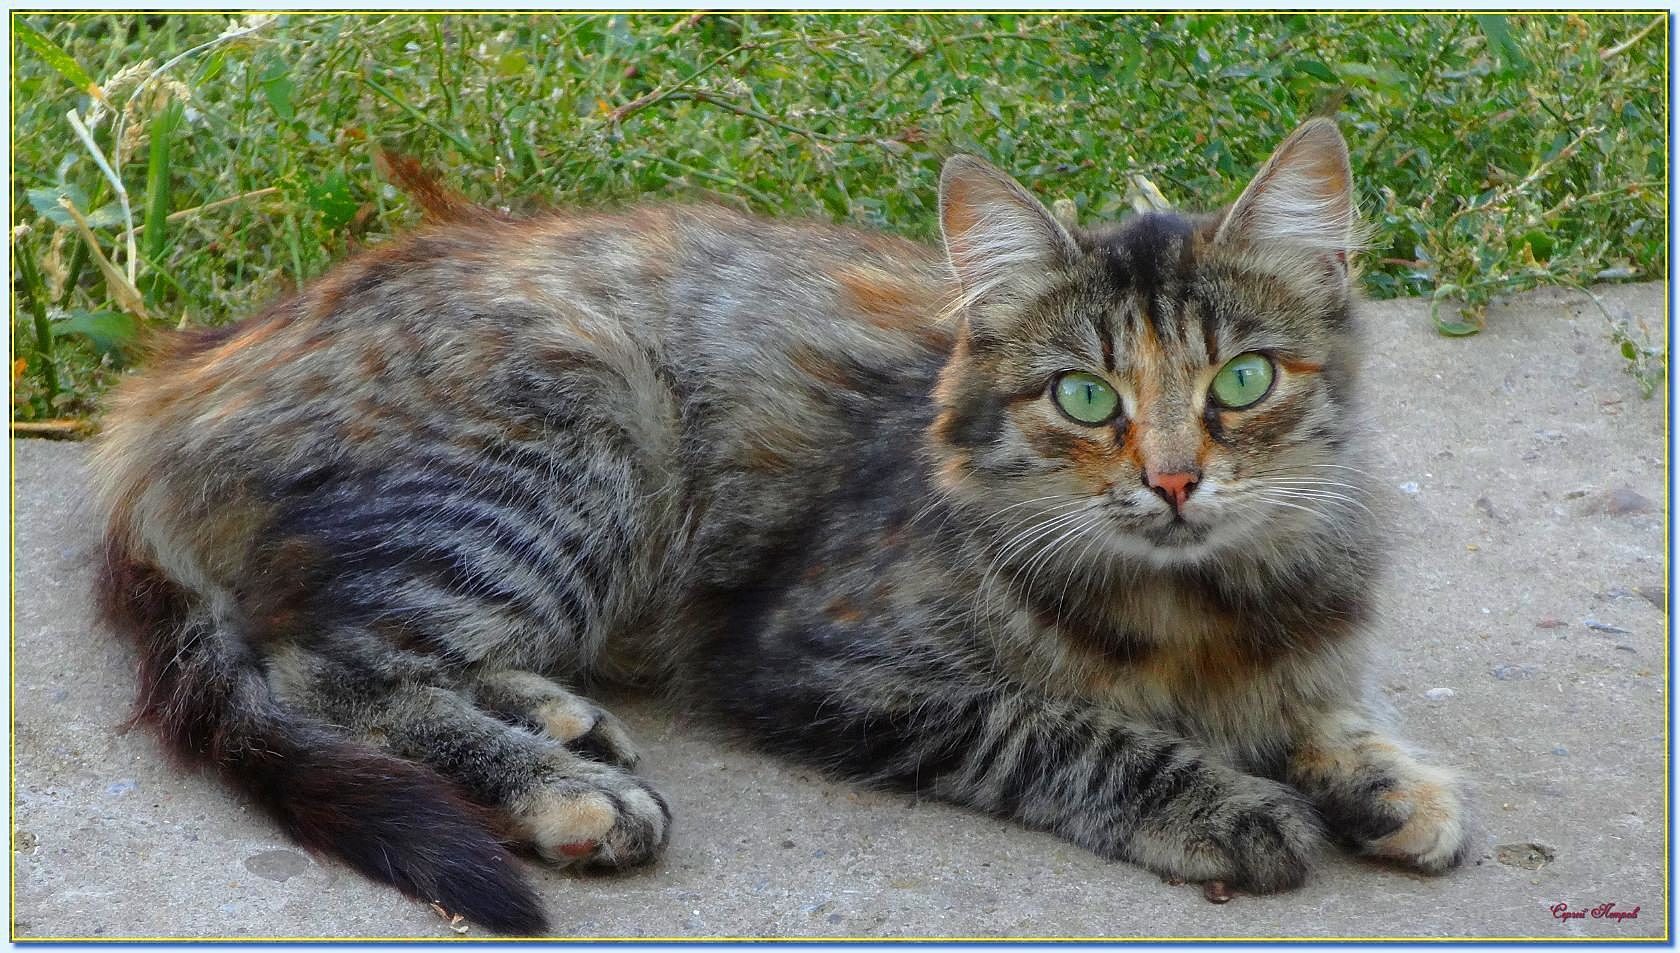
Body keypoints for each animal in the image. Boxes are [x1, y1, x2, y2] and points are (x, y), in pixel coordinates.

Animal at [91, 117, 1471, 934]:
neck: (1200, 605)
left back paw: (557, 715)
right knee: (327, 667)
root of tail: (168, 382)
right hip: (582, 429)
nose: (1178, 481)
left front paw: (1387, 778)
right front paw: (1228, 801)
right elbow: (1067, 730)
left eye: (1243, 380)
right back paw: (565, 788)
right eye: (1087, 396)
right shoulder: (819, 659)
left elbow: (1329, 700)